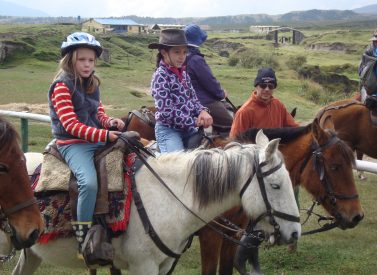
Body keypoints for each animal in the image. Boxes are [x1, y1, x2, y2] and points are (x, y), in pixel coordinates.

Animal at [12, 132, 300, 275]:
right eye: (275, 185)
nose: (295, 232)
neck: (170, 197)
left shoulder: (164, 265)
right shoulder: (144, 266)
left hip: (30, 252)